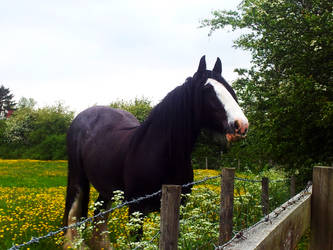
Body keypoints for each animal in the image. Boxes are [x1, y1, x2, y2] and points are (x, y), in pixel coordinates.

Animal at [63, 55, 248, 249]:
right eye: (208, 90)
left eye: (229, 89)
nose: (241, 125)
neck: (162, 153)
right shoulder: (136, 210)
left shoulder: (179, 207)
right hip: (78, 179)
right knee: (73, 217)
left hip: (108, 189)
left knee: (99, 216)